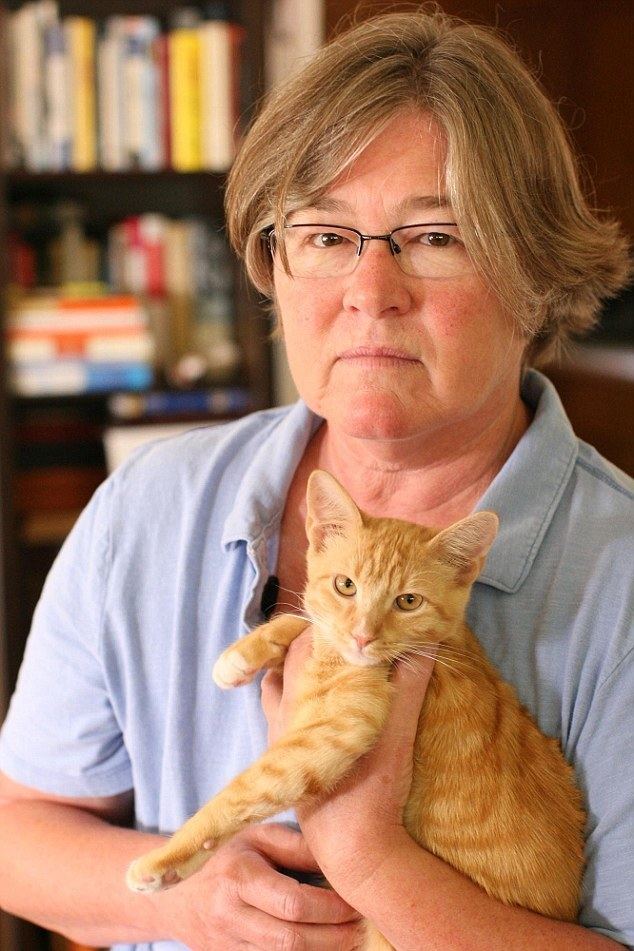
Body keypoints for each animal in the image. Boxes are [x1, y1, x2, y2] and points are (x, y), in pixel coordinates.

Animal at [126, 468, 584, 944]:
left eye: (408, 601)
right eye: (346, 586)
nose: (363, 636)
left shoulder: (335, 731)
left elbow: (248, 789)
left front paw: (166, 860)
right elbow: (308, 619)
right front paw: (242, 656)